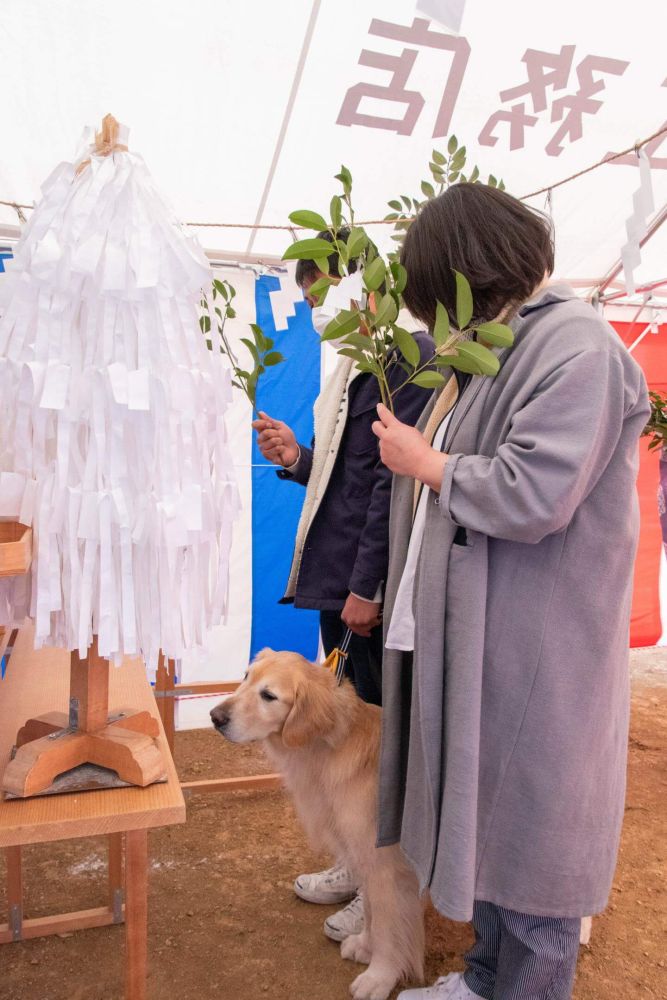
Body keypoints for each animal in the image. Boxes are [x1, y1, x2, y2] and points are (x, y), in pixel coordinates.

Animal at [211, 648, 426, 1000]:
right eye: (246, 677)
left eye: (269, 696)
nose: (215, 717)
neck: (333, 744)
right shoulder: (362, 857)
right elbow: (371, 913)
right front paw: (365, 946)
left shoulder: (385, 868)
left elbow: (388, 928)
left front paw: (380, 976)